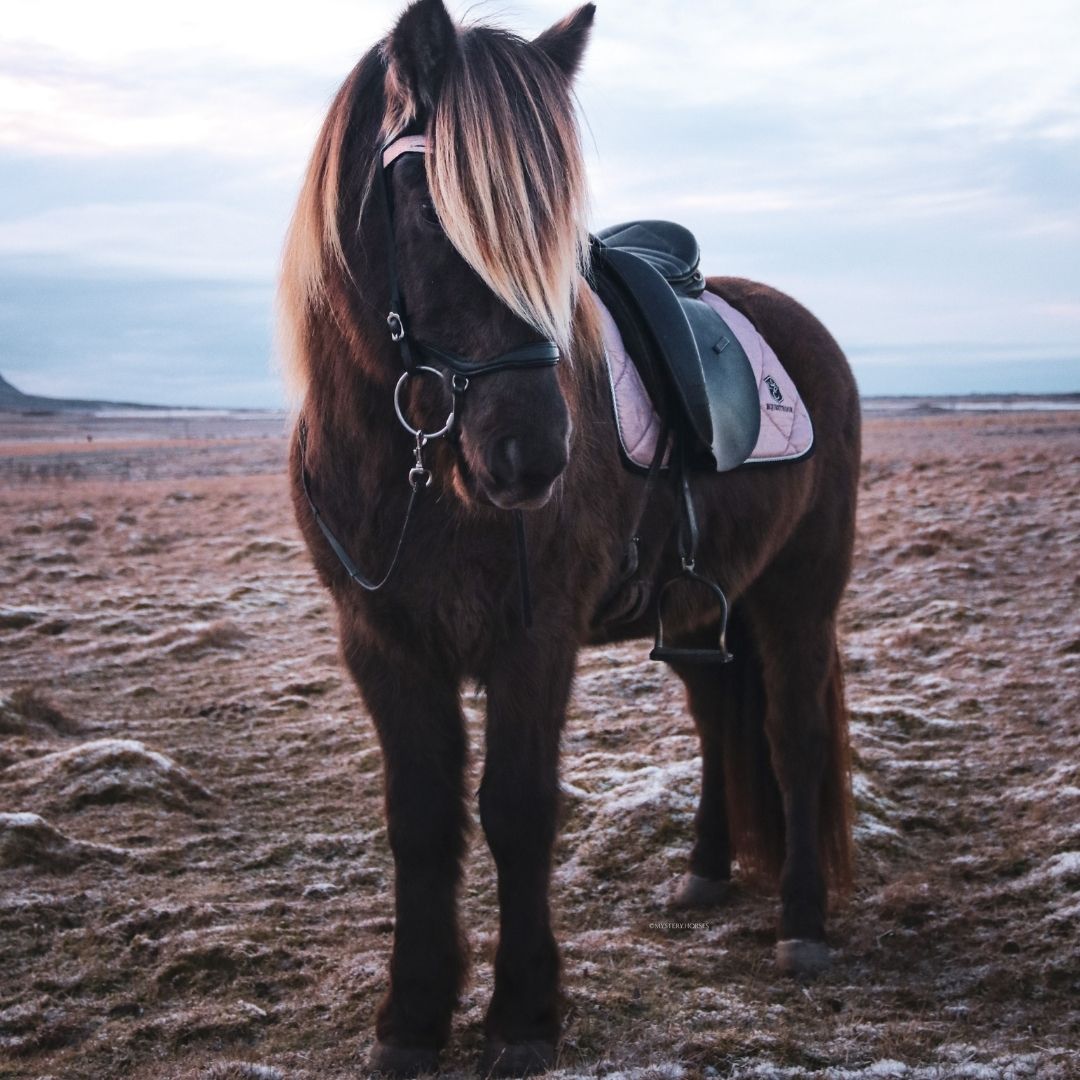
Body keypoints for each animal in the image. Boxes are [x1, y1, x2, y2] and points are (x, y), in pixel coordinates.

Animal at [279, 0, 860, 1075]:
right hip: (701, 608)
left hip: (800, 596)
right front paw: (411, 1018)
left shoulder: (534, 640)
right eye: (426, 204)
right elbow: (420, 820)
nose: (533, 453)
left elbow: (517, 810)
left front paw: (521, 1016)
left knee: (793, 737)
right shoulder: (383, 646)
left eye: (555, 236)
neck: (417, 476)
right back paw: (706, 873)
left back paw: (802, 924)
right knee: (719, 722)